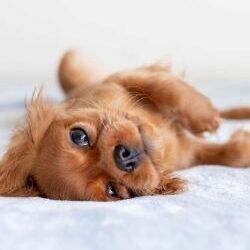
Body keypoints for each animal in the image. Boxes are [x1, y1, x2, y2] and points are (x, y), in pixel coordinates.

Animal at [0, 51, 250, 201]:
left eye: (78, 136)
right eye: (113, 190)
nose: (124, 157)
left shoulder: (118, 80)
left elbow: (164, 87)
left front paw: (203, 115)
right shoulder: (190, 154)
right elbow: (233, 155)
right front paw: (243, 145)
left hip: (69, 61)